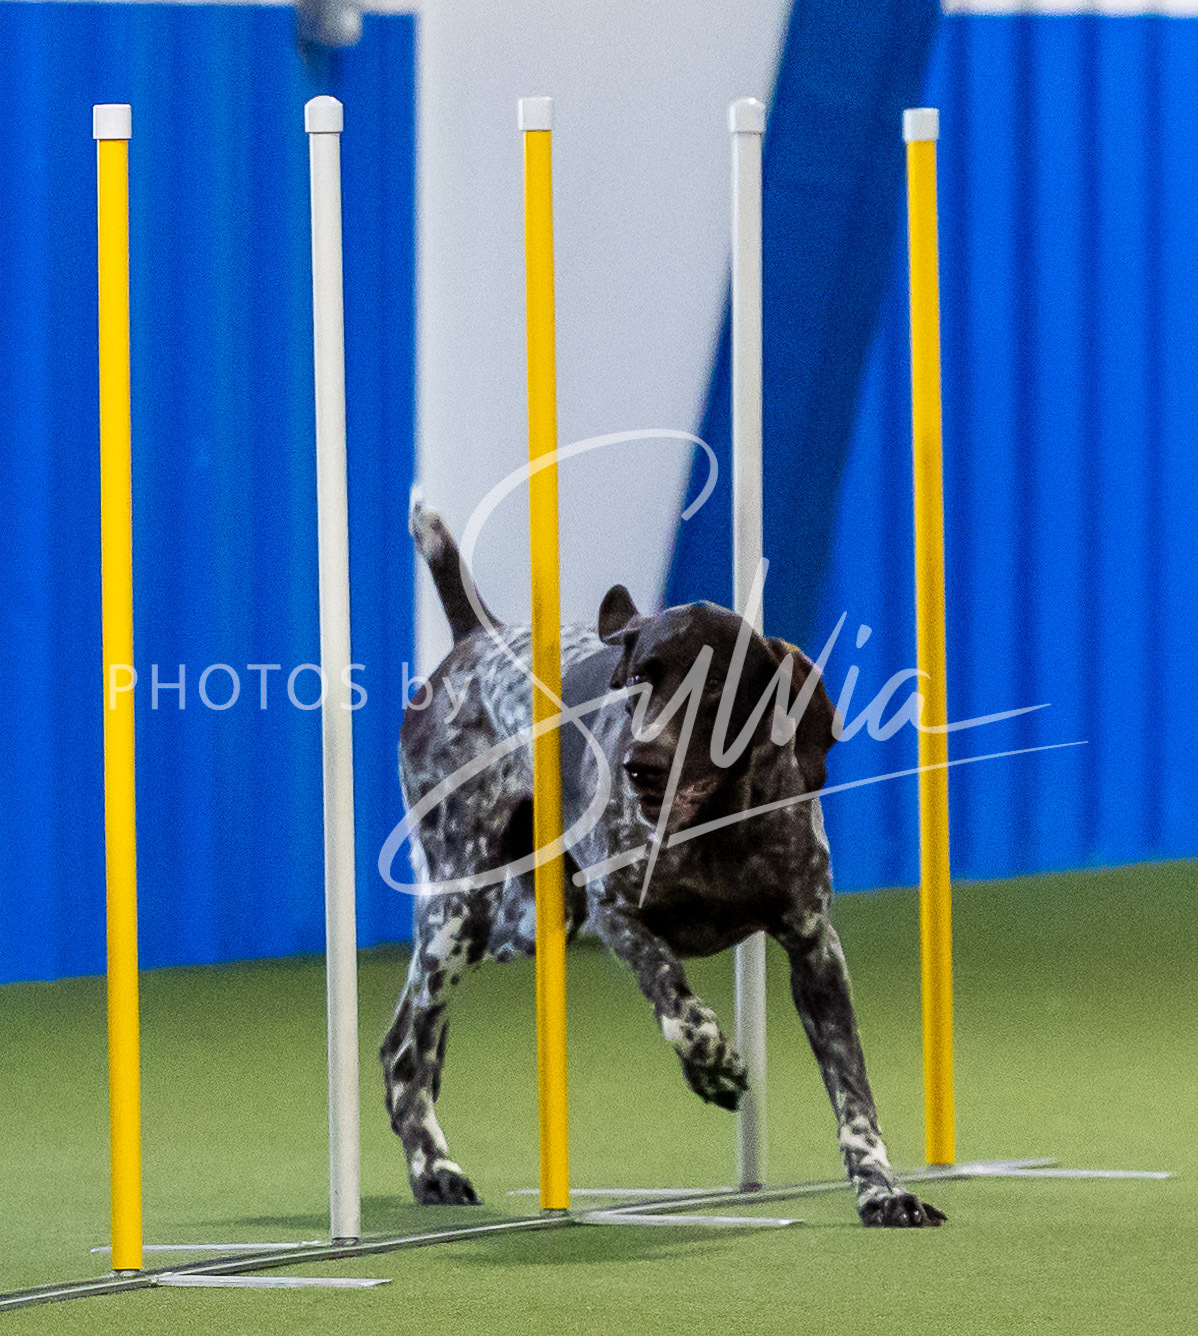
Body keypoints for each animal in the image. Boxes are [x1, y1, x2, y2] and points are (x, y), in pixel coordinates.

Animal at [380, 501, 945, 1228]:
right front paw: (716, 1065)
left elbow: (853, 1095)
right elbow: (678, 1002)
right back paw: (435, 1169)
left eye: (716, 687)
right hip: (462, 913)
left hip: (526, 925)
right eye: (638, 680)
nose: (640, 766)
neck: (714, 830)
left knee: (417, 1038)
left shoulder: (815, 950)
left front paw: (882, 1192)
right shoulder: (619, 916)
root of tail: (479, 636)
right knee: (406, 1052)